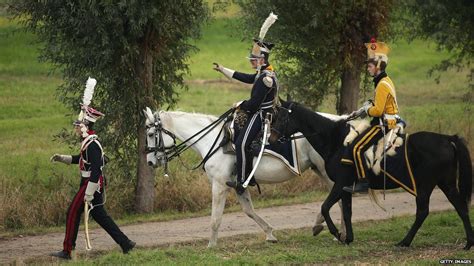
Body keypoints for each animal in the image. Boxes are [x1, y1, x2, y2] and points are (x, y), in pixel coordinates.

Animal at [143, 108, 344, 247]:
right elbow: (249, 211)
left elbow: (215, 218)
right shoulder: (239, 185)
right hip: (320, 171)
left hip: (327, 173)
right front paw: (270, 234)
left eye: (151, 134)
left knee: (340, 199)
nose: (150, 162)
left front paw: (211, 245)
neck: (214, 141)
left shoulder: (219, 185)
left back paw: (335, 230)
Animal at [270, 102, 474, 249]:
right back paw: (467, 243)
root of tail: (448, 139)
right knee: (460, 207)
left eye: (281, 117)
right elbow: (347, 212)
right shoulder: (346, 186)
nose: (271, 139)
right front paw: (348, 238)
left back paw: (404, 242)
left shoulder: (340, 183)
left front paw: (337, 233)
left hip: (425, 186)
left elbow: (325, 207)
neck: (336, 140)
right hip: (446, 183)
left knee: (423, 211)